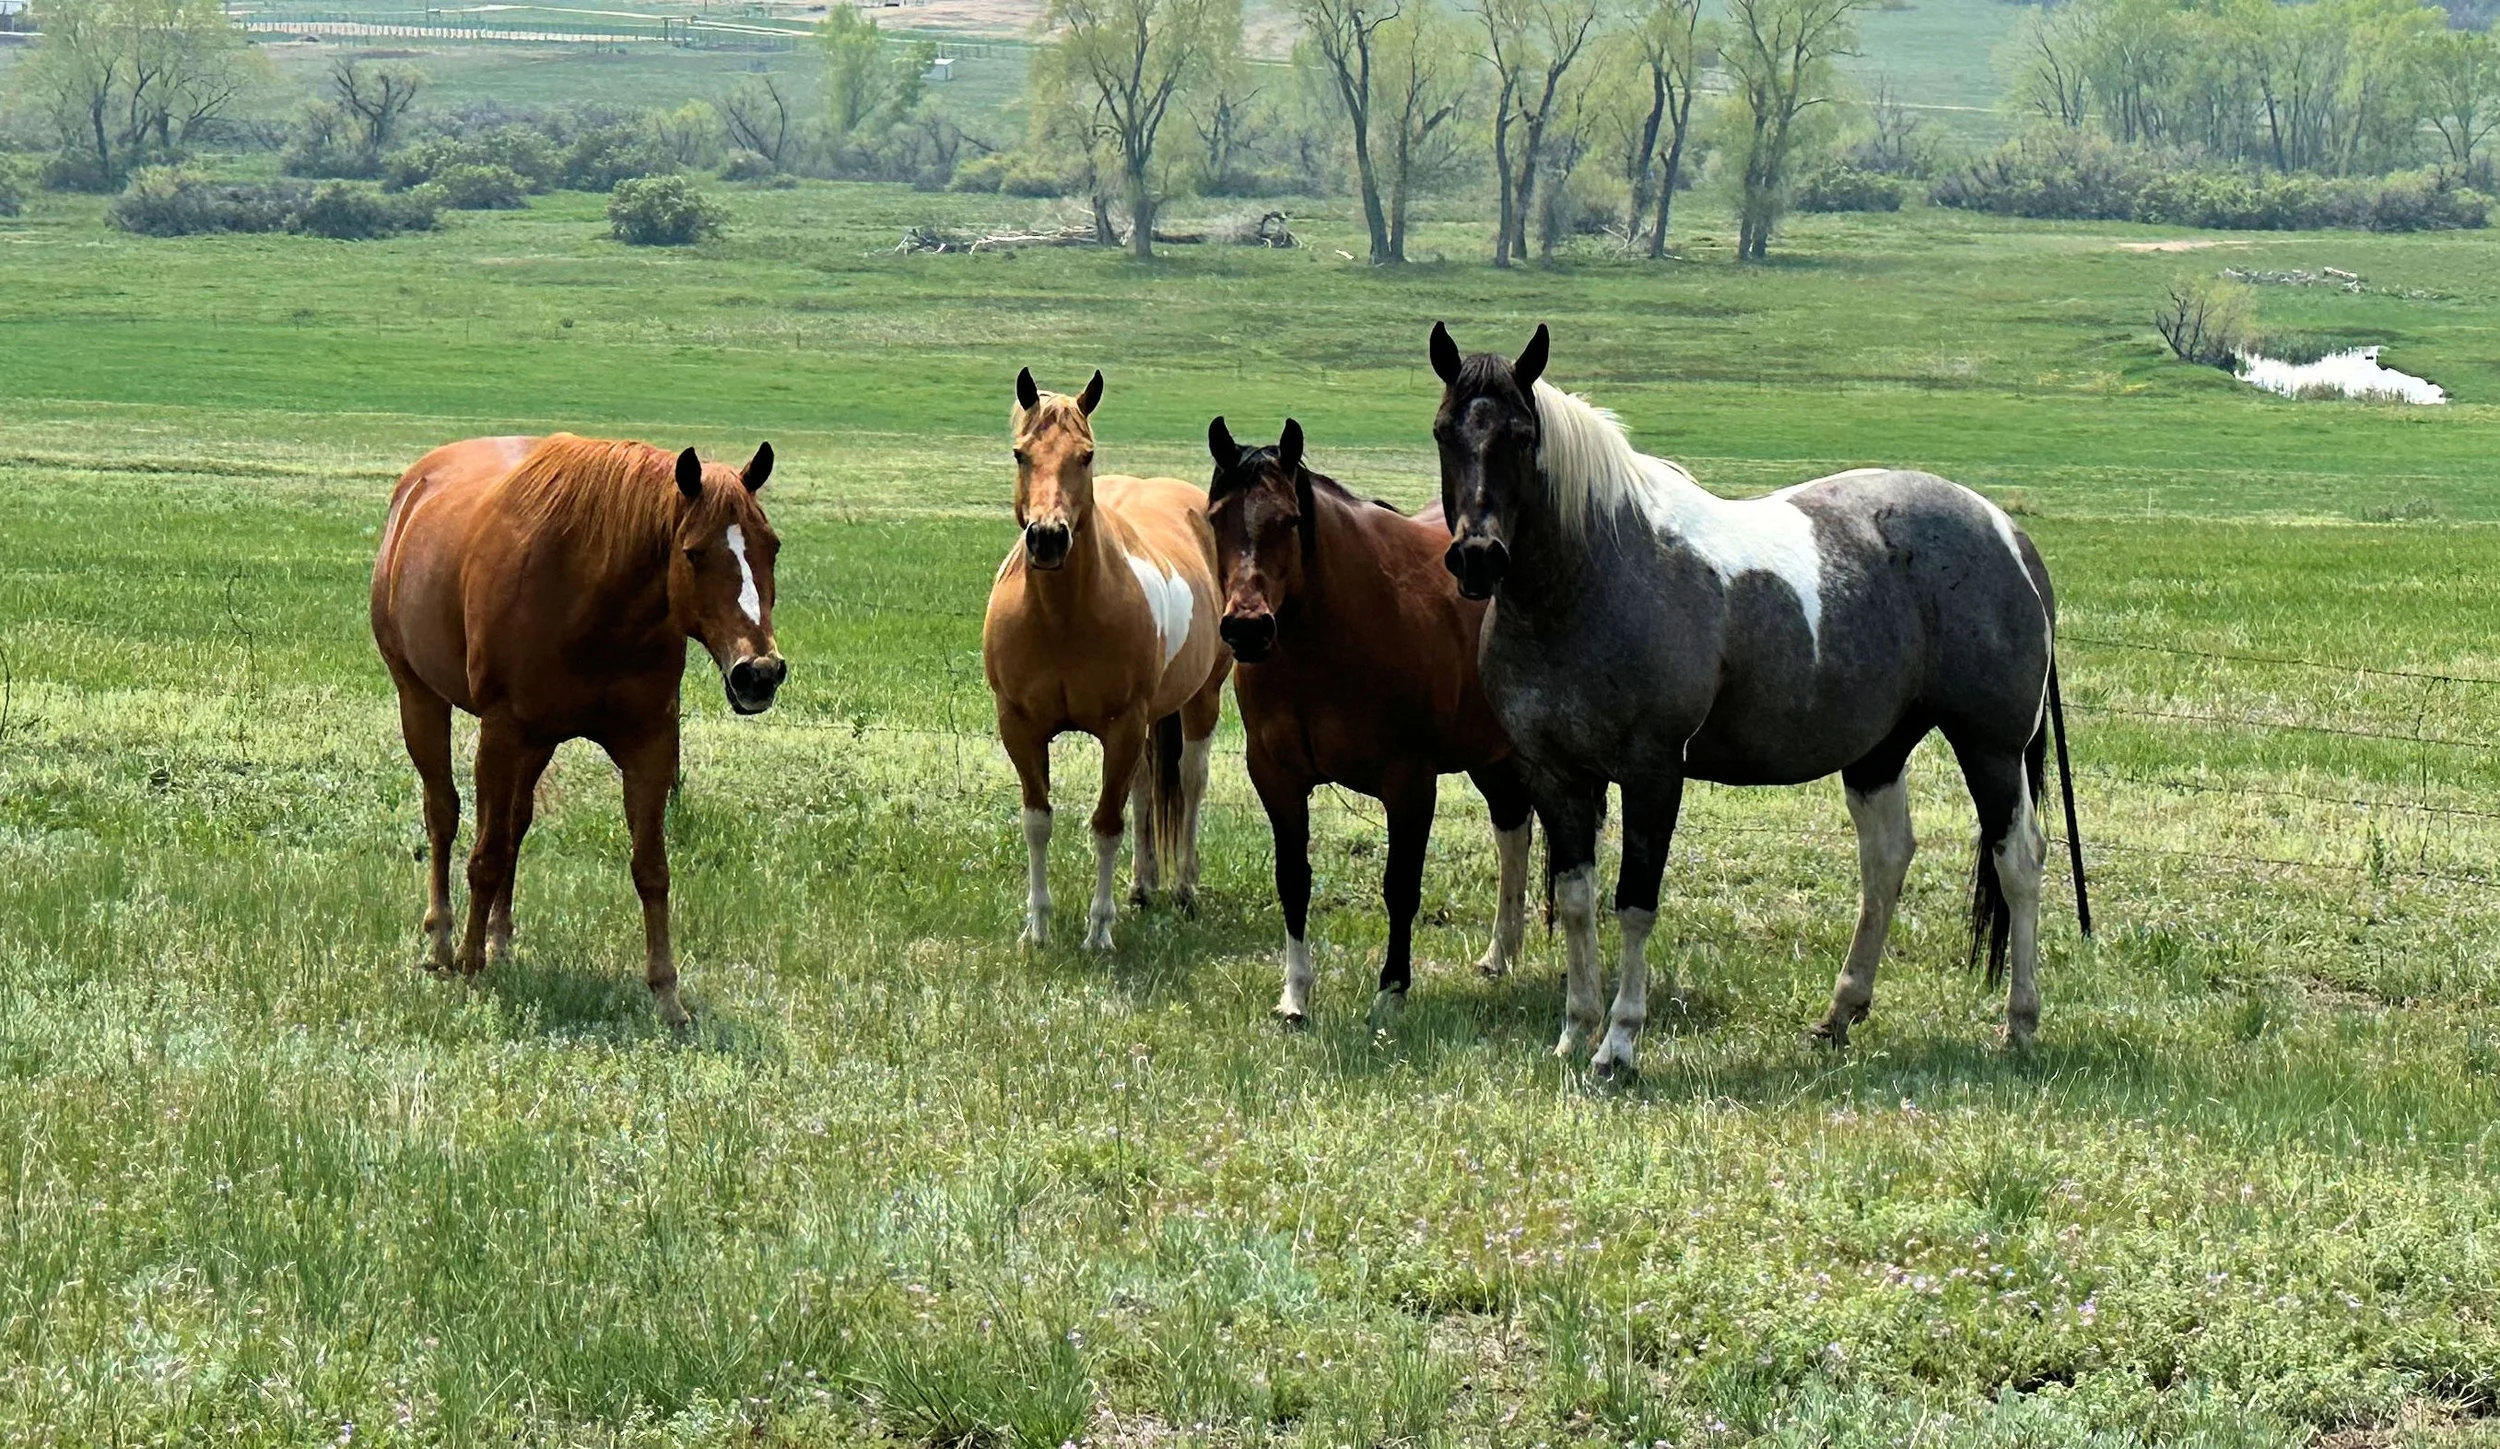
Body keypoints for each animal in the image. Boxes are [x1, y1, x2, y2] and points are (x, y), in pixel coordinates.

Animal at [370, 433, 785, 1027]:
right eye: (693, 552)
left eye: (771, 546)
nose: (760, 673)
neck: (594, 599)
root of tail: (413, 487)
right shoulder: (501, 731)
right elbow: (484, 854)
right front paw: (471, 969)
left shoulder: (650, 744)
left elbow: (651, 868)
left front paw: (667, 995)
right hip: (421, 700)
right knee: (443, 815)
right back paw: (444, 943)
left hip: (538, 741)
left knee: (515, 824)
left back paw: (499, 939)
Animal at [984, 369, 1232, 951]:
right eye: (1020, 453)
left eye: (1086, 455)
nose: (1048, 539)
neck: (1063, 620)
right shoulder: (1019, 725)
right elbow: (1038, 820)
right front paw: (1037, 926)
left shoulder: (1121, 725)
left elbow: (1105, 825)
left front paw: (1098, 932)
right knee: (1145, 785)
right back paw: (1142, 885)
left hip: (1201, 700)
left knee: (1191, 779)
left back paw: (1184, 889)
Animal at [1205, 416, 1533, 1025]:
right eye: (1216, 516)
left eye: (1289, 520)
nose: (1248, 629)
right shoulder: (1277, 779)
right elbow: (1293, 881)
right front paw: (1295, 995)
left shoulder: (1409, 784)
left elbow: (1400, 886)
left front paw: (1391, 991)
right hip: (1491, 755)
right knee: (1512, 828)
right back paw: (1500, 955)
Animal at [1429, 323, 2089, 1075]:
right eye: (1444, 431)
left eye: (1520, 434)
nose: (1478, 556)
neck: (1596, 576)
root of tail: (2008, 535)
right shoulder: (1557, 776)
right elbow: (1575, 900)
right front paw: (1575, 1030)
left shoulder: (1653, 773)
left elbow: (1635, 903)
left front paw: (1619, 1043)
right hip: (1878, 753)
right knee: (1887, 859)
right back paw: (1840, 1014)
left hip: (1991, 748)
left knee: (2019, 862)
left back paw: (2020, 1023)